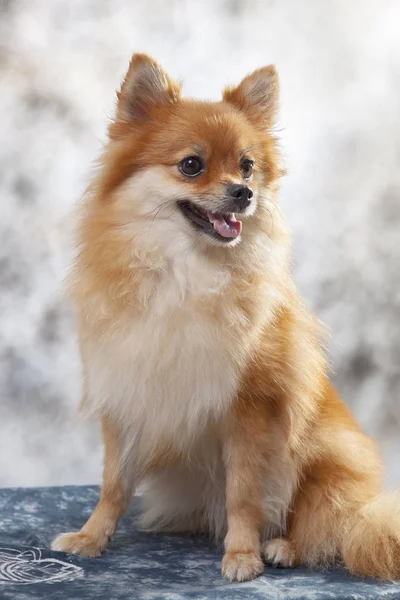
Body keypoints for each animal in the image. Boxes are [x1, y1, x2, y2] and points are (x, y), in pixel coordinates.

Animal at [51, 52, 400, 580]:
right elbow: (113, 483)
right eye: (191, 165)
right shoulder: (128, 392)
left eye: (248, 166)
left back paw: (282, 546)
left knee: (330, 527)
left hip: (326, 458)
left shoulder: (249, 409)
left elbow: (242, 494)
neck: (186, 272)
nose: (242, 192)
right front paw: (92, 538)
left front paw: (241, 555)